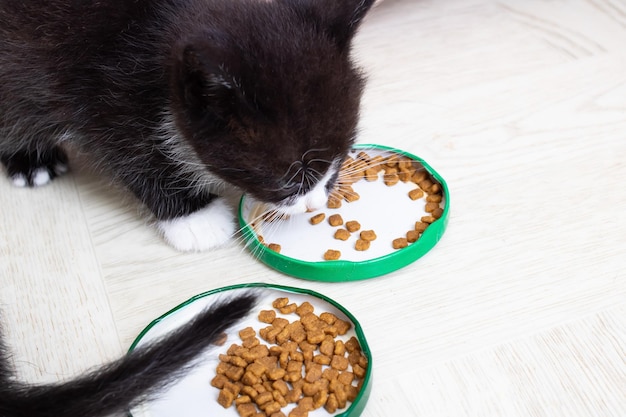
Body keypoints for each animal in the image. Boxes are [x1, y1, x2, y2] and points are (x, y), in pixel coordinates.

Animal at [0, 0, 372, 250]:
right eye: (287, 180)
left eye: (340, 158)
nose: (314, 204)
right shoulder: (101, 89)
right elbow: (131, 151)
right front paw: (196, 219)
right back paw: (30, 161)